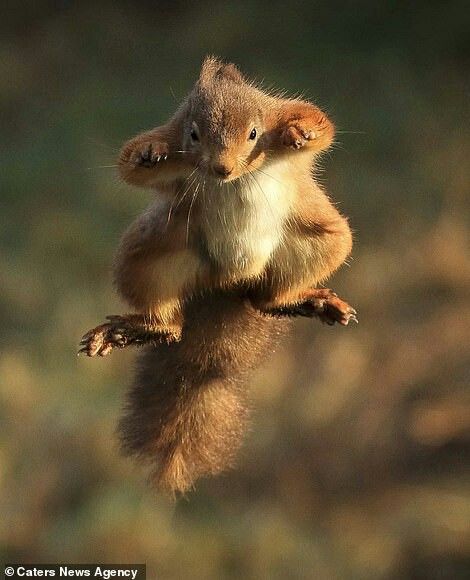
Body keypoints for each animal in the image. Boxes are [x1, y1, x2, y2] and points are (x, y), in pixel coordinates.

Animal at [79, 55, 356, 494]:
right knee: (172, 324)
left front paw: (300, 132)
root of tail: (229, 284)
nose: (222, 169)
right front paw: (150, 152)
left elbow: (321, 123)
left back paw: (302, 300)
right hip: (146, 257)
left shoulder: (280, 110)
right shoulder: (171, 144)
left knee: (267, 300)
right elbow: (129, 165)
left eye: (255, 133)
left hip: (325, 238)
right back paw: (136, 329)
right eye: (193, 134)